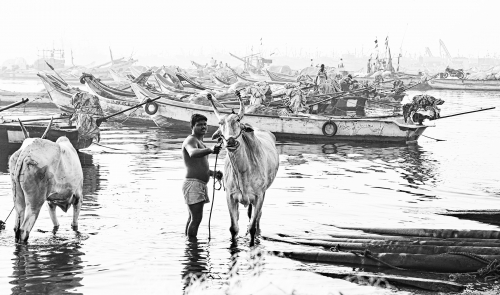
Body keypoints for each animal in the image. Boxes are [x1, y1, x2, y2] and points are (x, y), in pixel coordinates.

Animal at [206, 92, 280, 247]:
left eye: (238, 120)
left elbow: (252, 227)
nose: (231, 141)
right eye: (220, 123)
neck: (242, 171)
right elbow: (233, 228)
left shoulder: (259, 196)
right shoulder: (230, 196)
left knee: (257, 218)